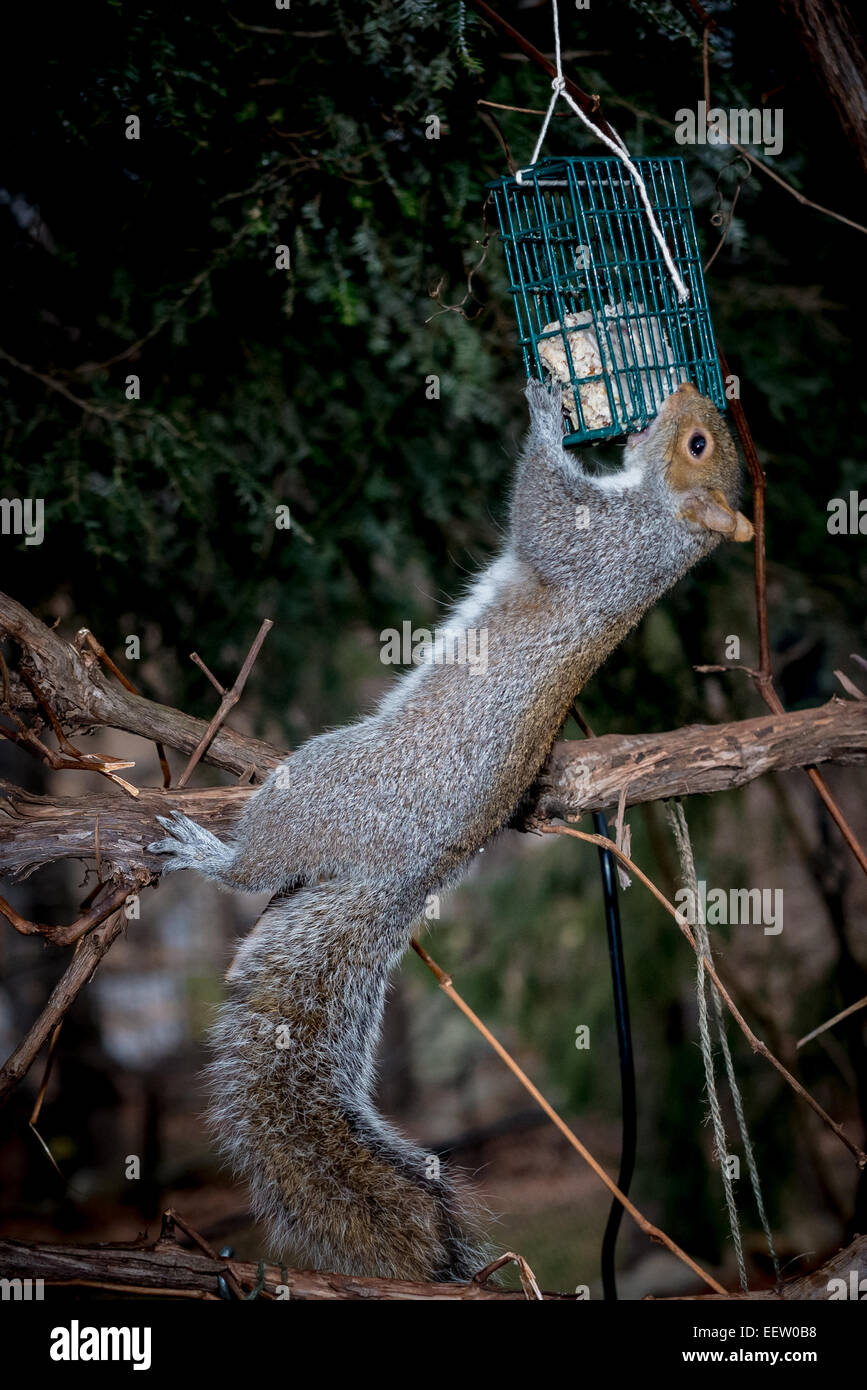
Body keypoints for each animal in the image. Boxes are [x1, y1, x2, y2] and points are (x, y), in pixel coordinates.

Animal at [148, 380, 752, 1282]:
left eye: (697, 445)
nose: (679, 390)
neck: (660, 525)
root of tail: (406, 878)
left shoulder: (597, 547)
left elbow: (538, 510)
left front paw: (544, 411)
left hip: (318, 785)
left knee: (256, 865)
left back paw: (212, 855)